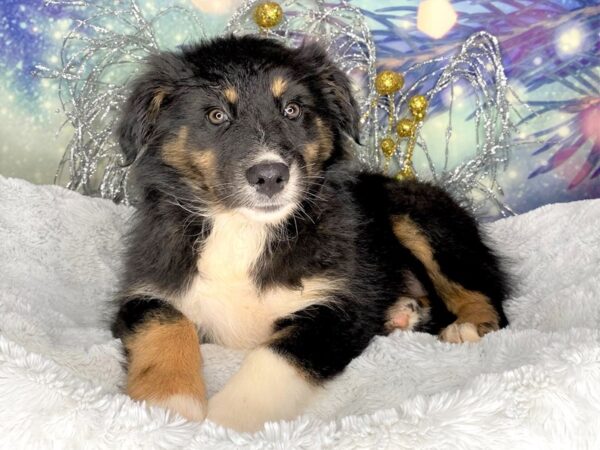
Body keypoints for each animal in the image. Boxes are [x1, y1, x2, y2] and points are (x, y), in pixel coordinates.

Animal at [110, 36, 508, 432]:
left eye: (292, 110)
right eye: (216, 116)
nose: (270, 176)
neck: (244, 229)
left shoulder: (339, 308)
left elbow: (274, 358)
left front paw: (225, 421)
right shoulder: (146, 289)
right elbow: (166, 323)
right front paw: (166, 404)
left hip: (419, 217)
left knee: (485, 295)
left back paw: (468, 326)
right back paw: (402, 313)